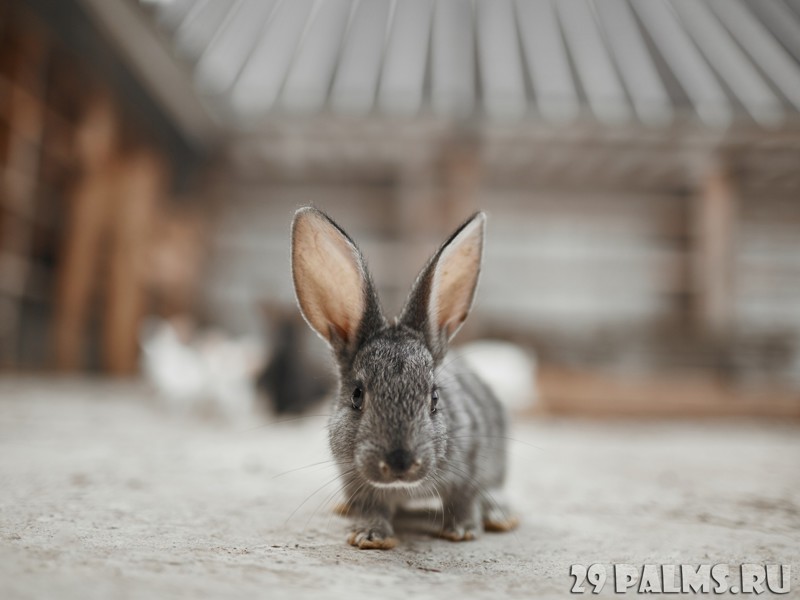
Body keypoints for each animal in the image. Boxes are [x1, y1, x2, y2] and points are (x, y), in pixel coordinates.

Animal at [290, 206, 516, 548]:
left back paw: (500, 518)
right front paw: (369, 536)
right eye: (357, 395)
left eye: (434, 398)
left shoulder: (470, 465)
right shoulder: (354, 480)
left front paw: (462, 531)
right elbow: (371, 507)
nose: (400, 463)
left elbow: (464, 499)